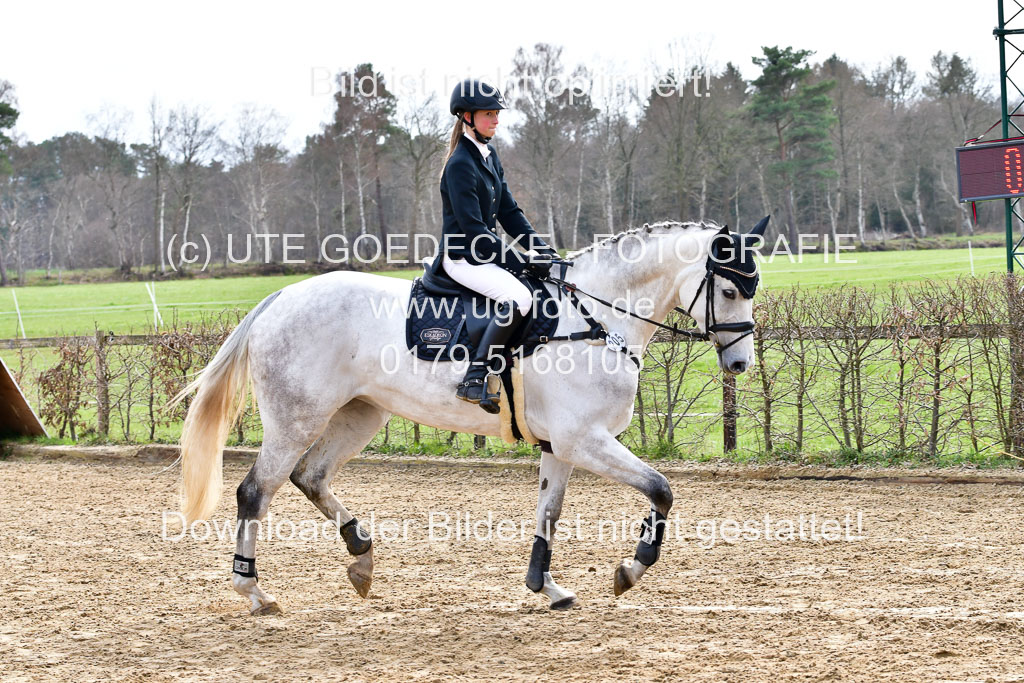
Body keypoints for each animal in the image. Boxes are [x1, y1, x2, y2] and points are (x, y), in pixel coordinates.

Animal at [176, 218, 770, 614]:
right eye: (729, 288)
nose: (741, 362)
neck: (597, 318)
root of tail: (281, 297)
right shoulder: (585, 440)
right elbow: (661, 489)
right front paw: (629, 569)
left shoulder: (561, 446)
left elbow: (549, 512)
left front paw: (546, 587)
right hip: (296, 419)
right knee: (256, 492)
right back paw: (254, 591)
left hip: (360, 415)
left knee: (311, 476)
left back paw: (361, 556)